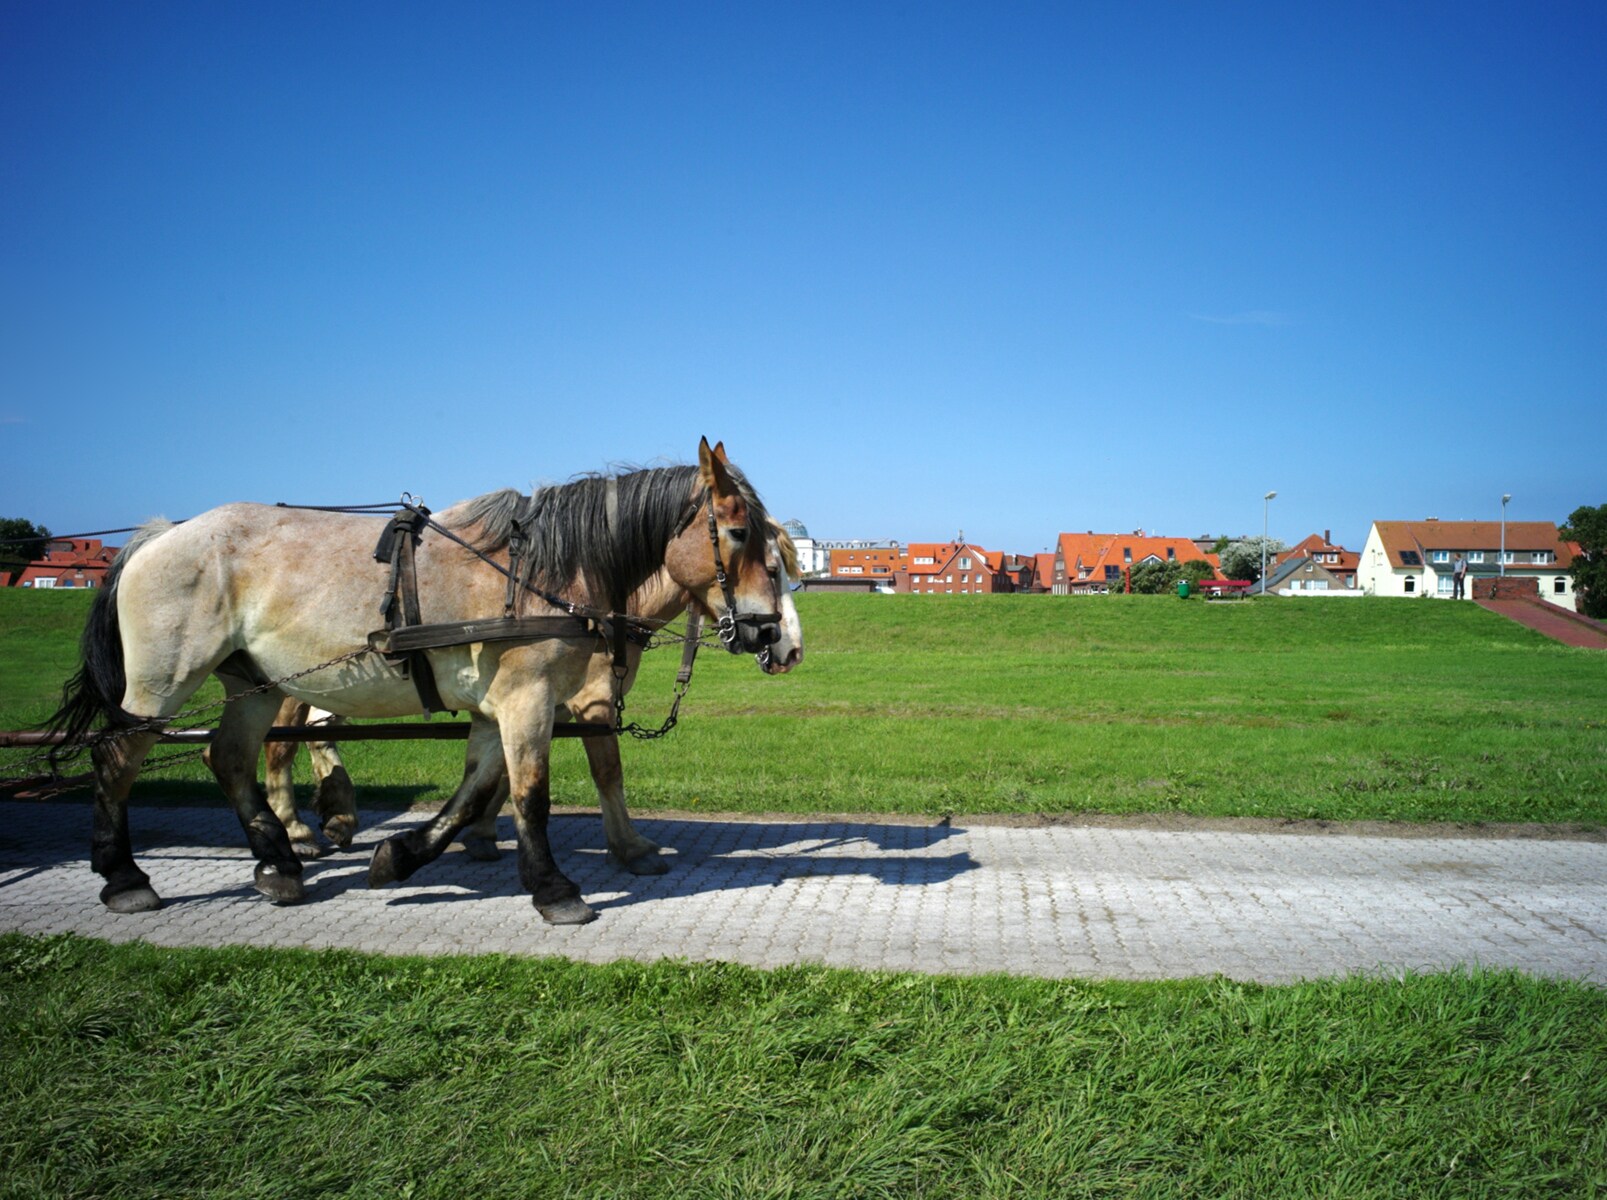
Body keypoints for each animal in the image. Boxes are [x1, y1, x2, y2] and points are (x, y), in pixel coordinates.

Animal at [258, 522, 803, 874]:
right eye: (771, 570)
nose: (789, 648)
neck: (591, 605)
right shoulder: (587, 703)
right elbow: (606, 772)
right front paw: (629, 849)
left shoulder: (535, 702)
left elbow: (498, 773)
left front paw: (477, 833)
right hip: (291, 684)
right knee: (280, 743)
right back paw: (297, 832)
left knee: (314, 732)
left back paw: (335, 814)